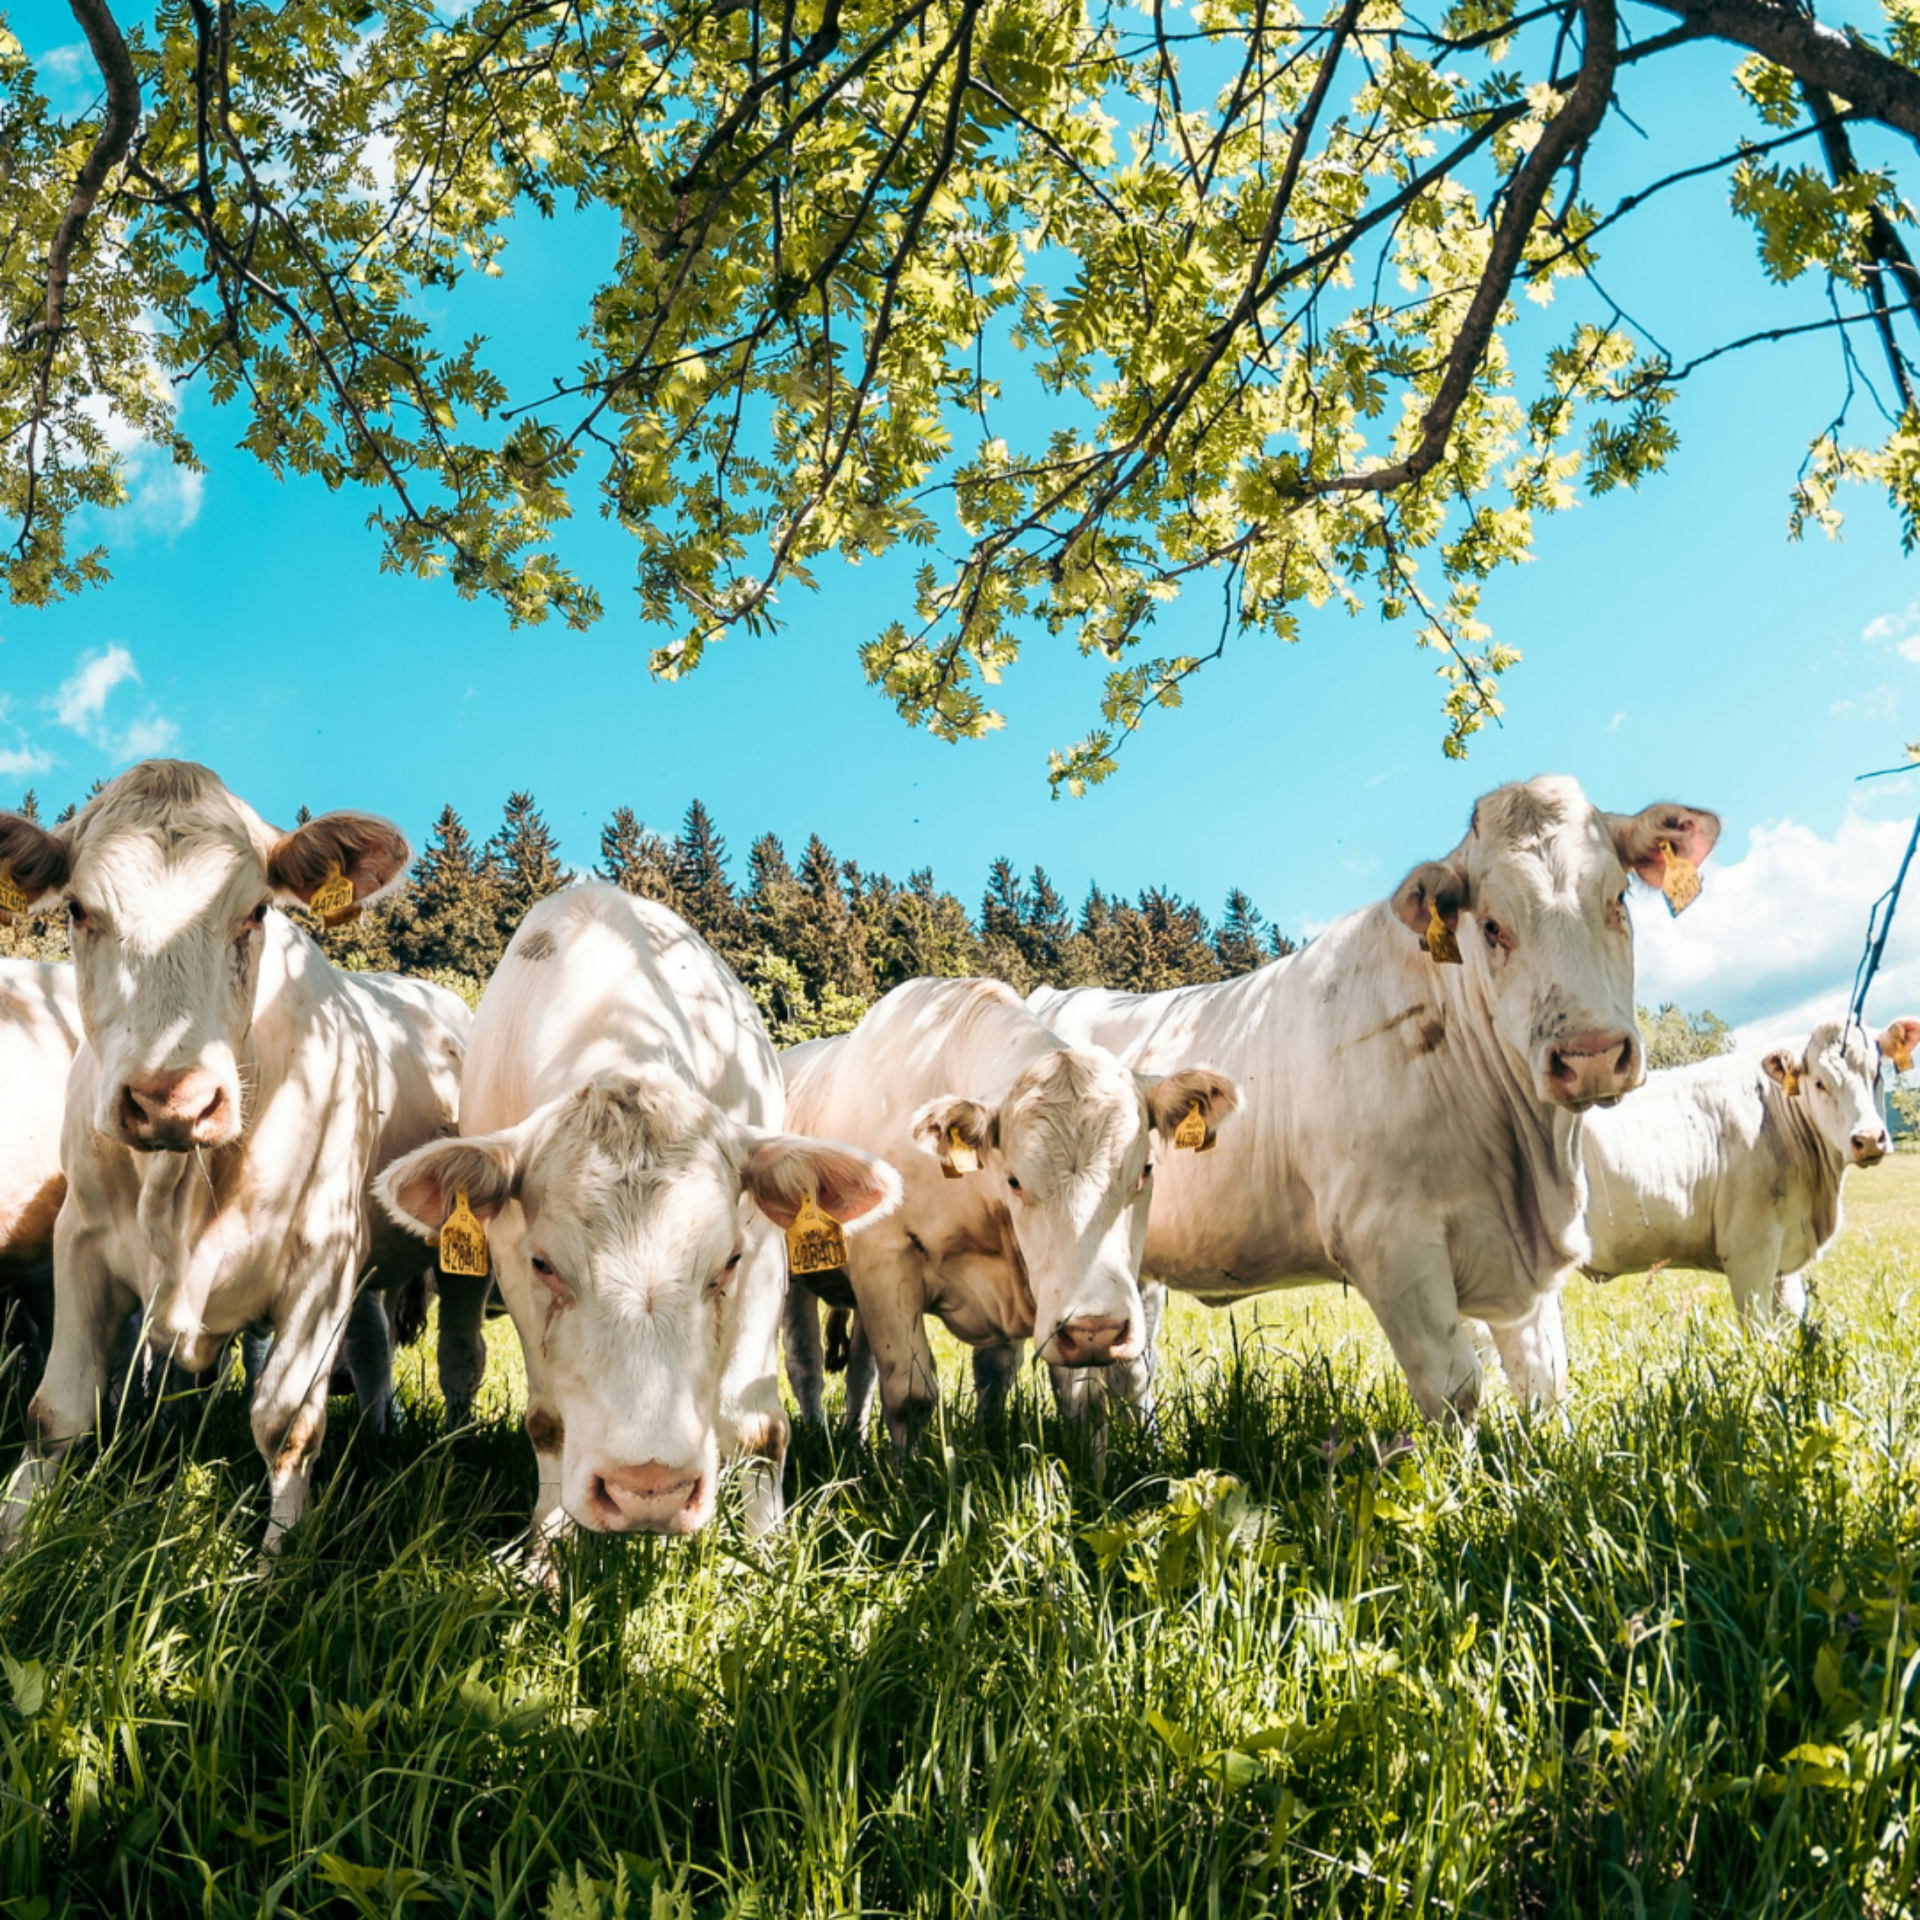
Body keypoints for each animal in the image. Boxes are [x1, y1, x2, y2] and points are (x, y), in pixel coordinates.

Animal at [0, 761, 470, 1547]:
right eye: (79, 911)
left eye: (255, 913)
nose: (172, 1101)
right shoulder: (78, 1241)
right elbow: (54, 1412)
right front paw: (17, 1539)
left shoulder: (322, 1258)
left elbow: (285, 1426)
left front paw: (278, 1560)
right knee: (372, 1341)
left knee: (452, 1358)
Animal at [375, 883, 899, 1549]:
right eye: (545, 1264)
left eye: (726, 1262)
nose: (650, 1489)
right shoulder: (508, 1255)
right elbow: (548, 1422)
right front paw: (547, 1553)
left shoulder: (763, 1249)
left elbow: (757, 1425)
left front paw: (767, 1551)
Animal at [779, 977, 1238, 1448]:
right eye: (1014, 1180)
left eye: (1146, 1169)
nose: (1096, 1328)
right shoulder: (885, 1264)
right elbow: (909, 1394)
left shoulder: (1050, 1300)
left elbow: (1079, 1400)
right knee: (805, 1363)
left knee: (859, 1368)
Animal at [1032, 777, 1722, 1425]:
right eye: (1492, 926)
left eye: (1618, 898)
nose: (1590, 1056)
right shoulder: (1388, 1242)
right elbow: (1454, 1391)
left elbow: (1542, 1383)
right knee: (1073, 1379)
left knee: (1131, 1370)